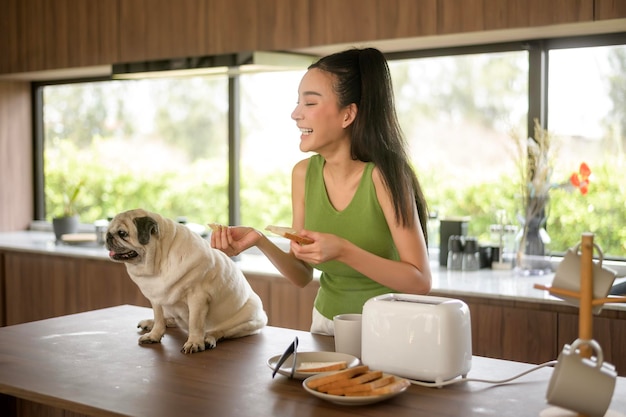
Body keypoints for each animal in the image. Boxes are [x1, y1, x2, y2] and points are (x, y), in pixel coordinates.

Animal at [105, 207, 266, 352]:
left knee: (220, 332)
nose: (108, 237)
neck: (159, 262)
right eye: (109, 231)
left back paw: (208, 338)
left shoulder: (197, 298)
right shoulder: (156, 298)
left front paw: (194, 342)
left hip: (248, 321)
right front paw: (154, 335)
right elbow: (159, 319)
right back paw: (152, 322)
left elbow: (195, 323)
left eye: (122, 233)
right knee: (170, 320)